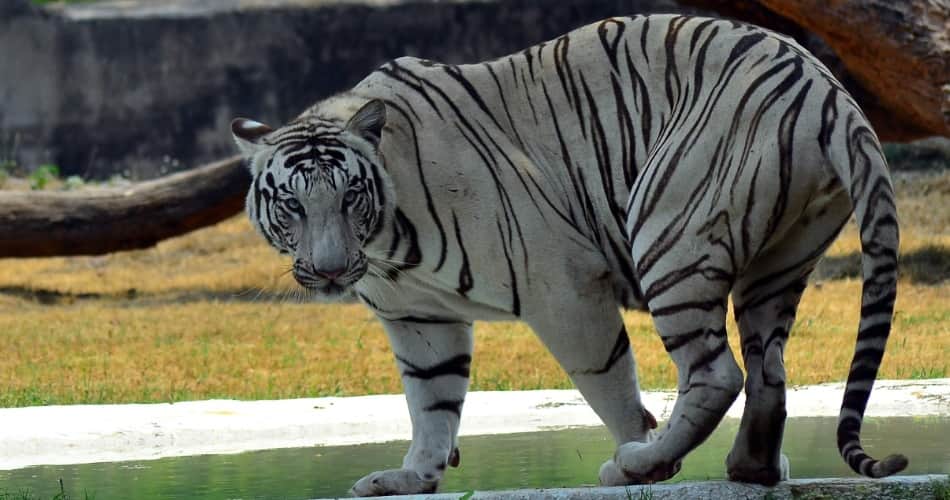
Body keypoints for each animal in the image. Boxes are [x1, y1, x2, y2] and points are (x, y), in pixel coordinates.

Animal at [230, 13, 906, 496]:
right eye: (292, 206)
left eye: (349, 197)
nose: (330, 270)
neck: (387, 247)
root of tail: (826, 87)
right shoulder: (418, 315)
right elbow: (432, 400)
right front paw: (413, 477)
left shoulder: (561, 286)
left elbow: (609, 382)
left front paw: (641, 462)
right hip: (779, 260)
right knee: (769, 369)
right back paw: (751, 468)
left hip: (671, 231)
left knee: (717, 373)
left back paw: (639, 464)